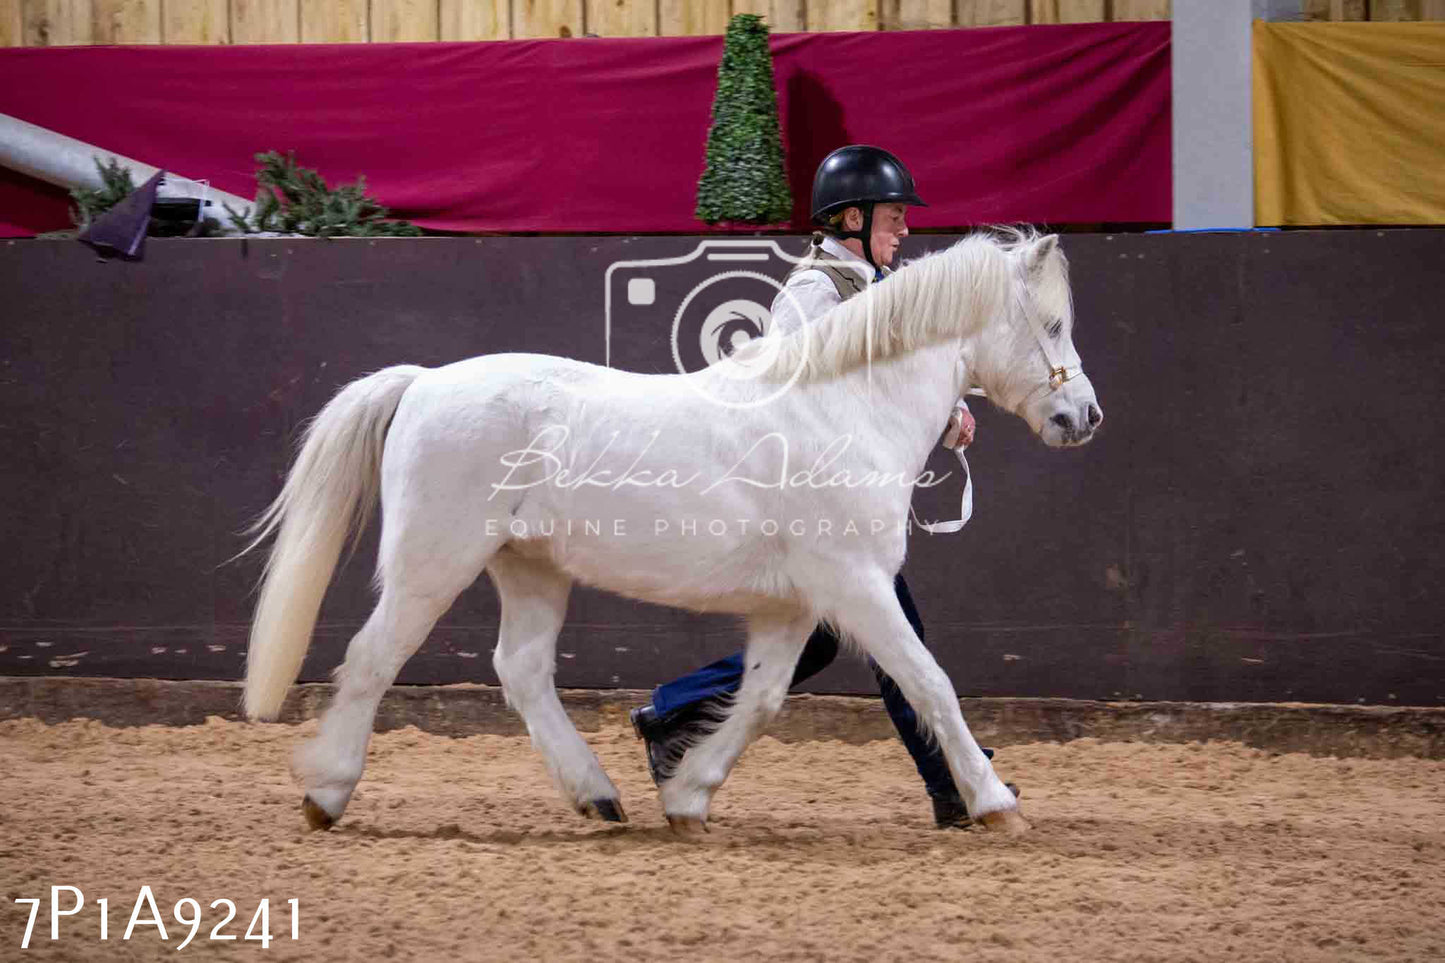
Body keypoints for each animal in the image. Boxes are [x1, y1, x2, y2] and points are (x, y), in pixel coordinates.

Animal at [242, 231, 1098, 832]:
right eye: (1053, 323)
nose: (1082, 416)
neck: (843, 409)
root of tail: (421, 383)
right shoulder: (856, 586)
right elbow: (929, 682)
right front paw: (993, 800)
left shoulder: (793, 605)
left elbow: (760, 699)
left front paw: (687, 796)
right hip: (433, 561)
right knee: (372, 657)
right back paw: (326, 793)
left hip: (529, 568)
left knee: (522, 669)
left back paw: (598, 795)